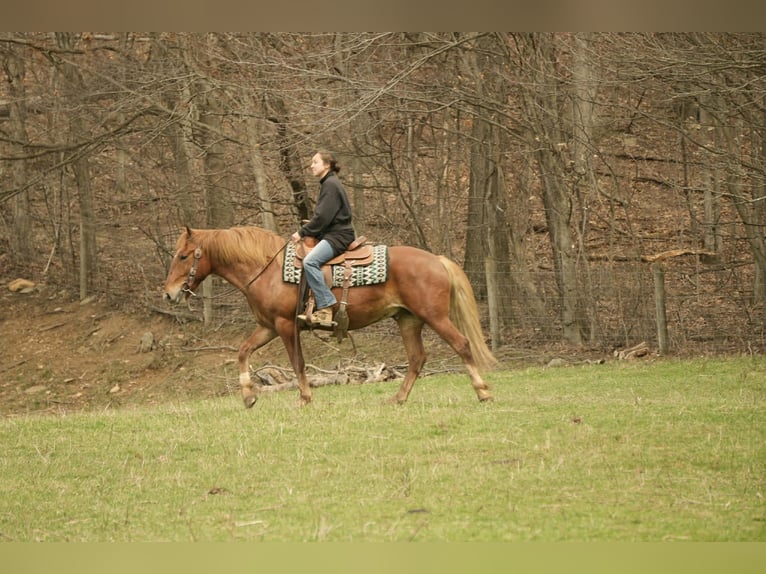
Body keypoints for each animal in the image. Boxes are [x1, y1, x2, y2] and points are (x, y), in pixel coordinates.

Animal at [162, 226, 495, 408]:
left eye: (183, 256)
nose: (169, 294)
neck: (267, 270)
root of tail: (436, 259)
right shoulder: (267, 327)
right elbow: (243, 352)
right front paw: (248, 396)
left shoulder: (285, 326)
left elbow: (297, 363)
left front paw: (305, 398)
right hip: (408, 320)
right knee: (417, 358)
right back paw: (398, 398)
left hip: (435, 317)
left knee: (462, 345)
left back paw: (483, 392)